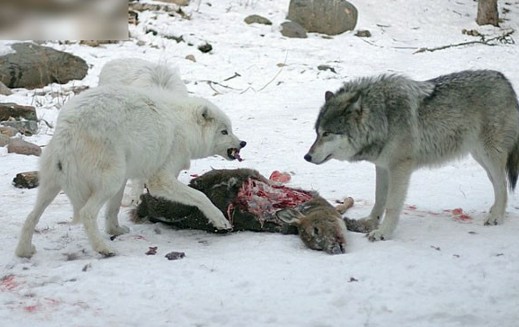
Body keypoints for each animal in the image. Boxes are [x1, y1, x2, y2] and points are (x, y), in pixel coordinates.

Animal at [14, 84, 246, 258]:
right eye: (224, 132)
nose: (242, 143)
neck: (185, 127)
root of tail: (67, 129)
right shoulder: (159, 179)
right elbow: (200, 197)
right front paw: (220, 221)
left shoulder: (127, 179)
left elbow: (113, 209)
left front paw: (115, 230)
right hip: (109, 181)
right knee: (86, 213)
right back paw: (104, 249)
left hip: (56, 186)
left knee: (31, 217)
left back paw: (24, 251)